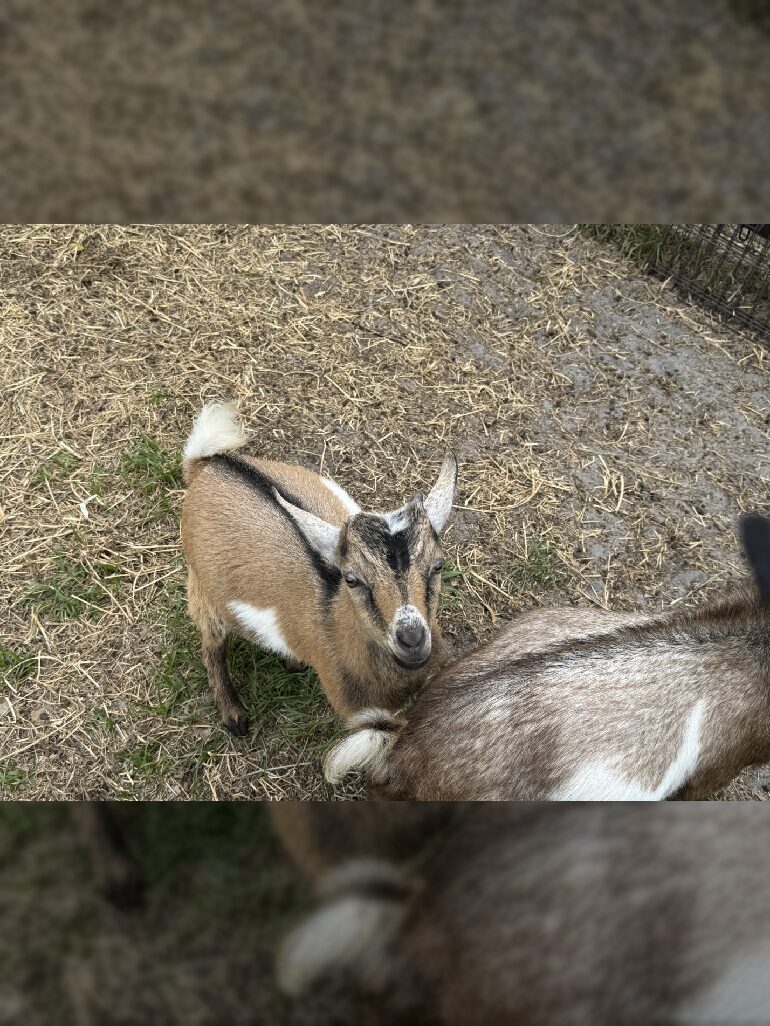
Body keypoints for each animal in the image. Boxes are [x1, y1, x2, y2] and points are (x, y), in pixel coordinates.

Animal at [181, 402, 457, 734]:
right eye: (351, 579)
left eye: (438, 565)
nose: (412, 641)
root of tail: (206, 465)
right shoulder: (360, 714)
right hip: (202, 590)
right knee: (211, 645)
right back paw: (234, 715)